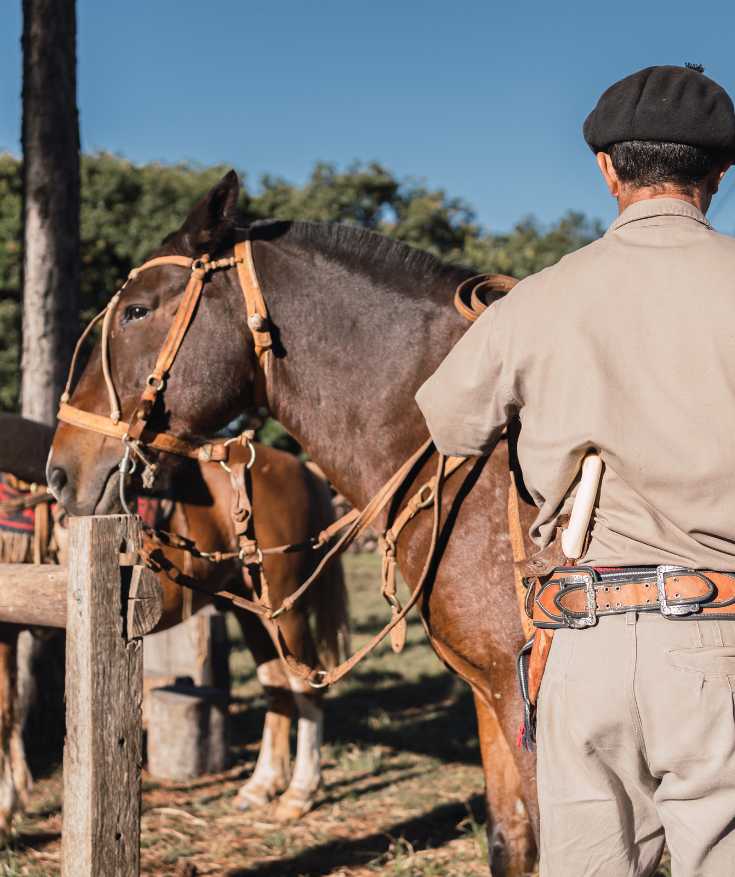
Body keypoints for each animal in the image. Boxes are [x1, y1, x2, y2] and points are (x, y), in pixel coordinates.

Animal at [0, 414, 348, 840]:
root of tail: (301, 469)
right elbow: (10, 709)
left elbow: (4, 713)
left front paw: (5, 810)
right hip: (251, 607)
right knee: (276, 684)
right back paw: (262, 784)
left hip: (285, 607)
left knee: (306, 686)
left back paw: (299, 793)